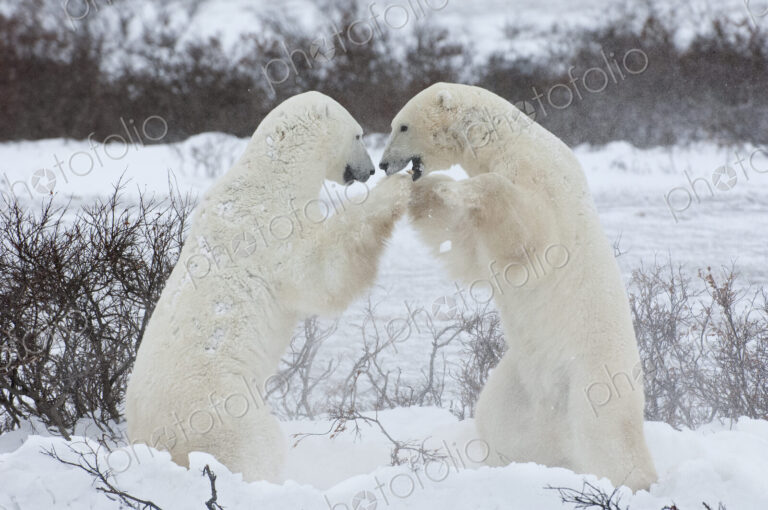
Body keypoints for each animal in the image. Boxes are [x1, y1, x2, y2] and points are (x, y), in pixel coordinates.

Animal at [126, 91, 411, 482]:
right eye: (358, 135)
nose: (370, 170)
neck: (273, 175)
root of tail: (154, 439)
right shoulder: (272, 229)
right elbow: (319, 271)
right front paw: (396, 189)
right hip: (223, 410)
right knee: (255, 448)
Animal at [379, 83, 657, 491]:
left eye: (402, 126)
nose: (383, 165)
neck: (505, 140)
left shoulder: (541, 178)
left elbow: (527, 234)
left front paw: (457, 189)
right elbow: (467, 247)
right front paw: (422, 193)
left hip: (593, 377)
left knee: (607, 435)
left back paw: (634, 481)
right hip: (518, 382)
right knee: (498, 419)